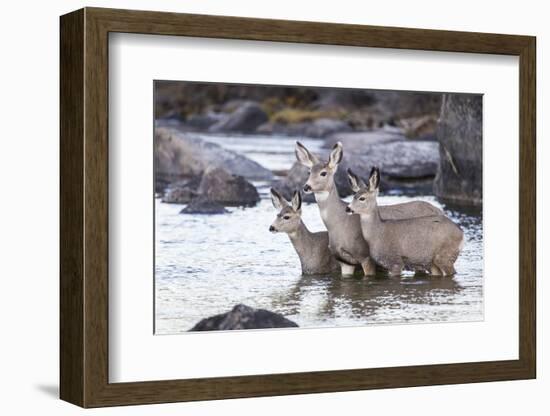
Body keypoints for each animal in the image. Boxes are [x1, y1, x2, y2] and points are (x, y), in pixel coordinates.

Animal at [298, 141, 444, 278]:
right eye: (309, 172)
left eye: (323, 173)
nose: (306, 187)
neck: (339, 223)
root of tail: (440, 211)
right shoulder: (345, 261)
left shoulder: (365, 255)